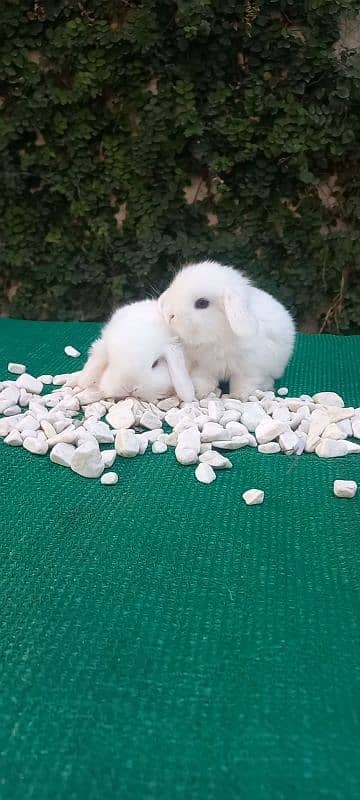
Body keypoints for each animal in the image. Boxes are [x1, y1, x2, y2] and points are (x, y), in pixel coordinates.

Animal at [159, 260, 294, 400]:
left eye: (202, 303)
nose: (170, 315)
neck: (218, 336)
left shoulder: (250, 370)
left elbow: (244, 383)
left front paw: (238, 396)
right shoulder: (203, 366)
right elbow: (203, 379)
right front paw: (200, 393)